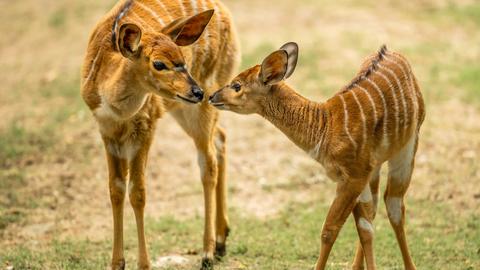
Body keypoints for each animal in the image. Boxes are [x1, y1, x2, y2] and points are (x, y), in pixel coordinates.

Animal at [81, 0, 242, 268]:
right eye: (158, 64)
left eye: (182, 59)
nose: (197, 91)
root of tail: (222, 9)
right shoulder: (106, 130)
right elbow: (115, 190)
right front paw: (117, 263)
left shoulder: (146, 125)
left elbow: (138, 192)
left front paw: (143, 264)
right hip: (181, 107)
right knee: (220, 137)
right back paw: (222, 240)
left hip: (204, 98)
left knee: (208, 163)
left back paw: (208, 253)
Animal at [209, 43, 424, 268]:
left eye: (237, 86)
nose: (212, 96)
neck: (325, 125)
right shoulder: (353, 176)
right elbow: (363, 225)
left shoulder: (353, 177)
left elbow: (329, 230)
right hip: (376, 167)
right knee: (374, 211)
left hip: (407, 148)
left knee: (394, 205)